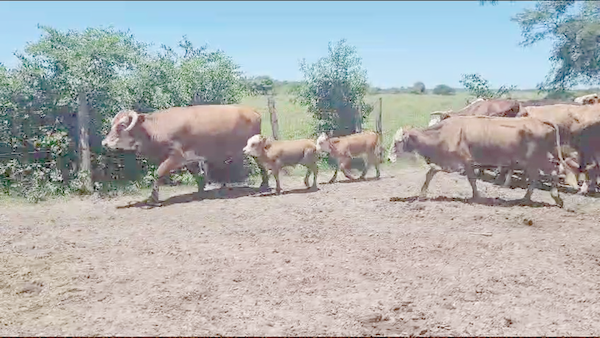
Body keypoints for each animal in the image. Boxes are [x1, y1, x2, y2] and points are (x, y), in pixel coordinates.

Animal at [102, 104, 270, 205]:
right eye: (113, 124)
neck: (154, 129)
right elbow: (198, 175)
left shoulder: (175, 156)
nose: (104, 143)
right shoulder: (189, 158)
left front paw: (153, 198)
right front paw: (200, 192)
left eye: (122, 125)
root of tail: (252, 111)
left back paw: (265, 185)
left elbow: (158, 173)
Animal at [386, 115, 576, 207]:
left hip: (537, 158)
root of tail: (540, 121)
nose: (388, 158)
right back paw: (526, 198)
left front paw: (477, 197)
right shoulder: (456, 163)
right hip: (534, 160)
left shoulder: (460, 161)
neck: (444, 133)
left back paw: (554, 197)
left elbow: (464, 177)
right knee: (541, 175)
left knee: (553, 172)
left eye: (397, 141)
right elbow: (433, 173)